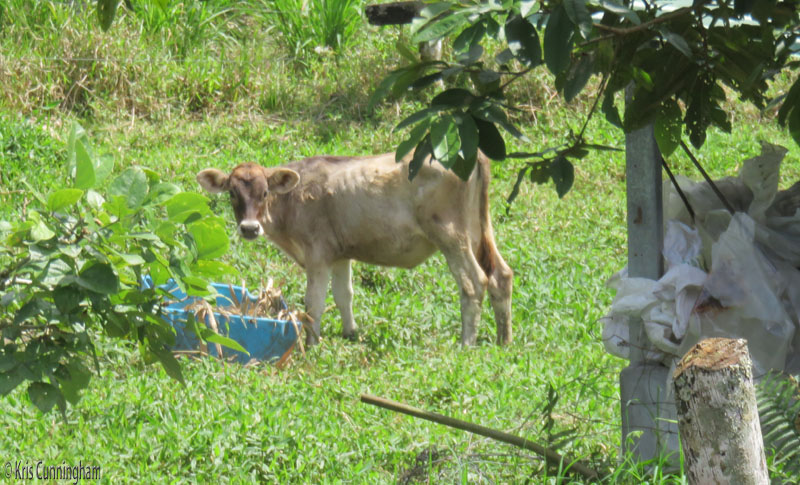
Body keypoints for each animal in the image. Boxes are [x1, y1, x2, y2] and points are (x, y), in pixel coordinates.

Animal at [196, 151, 513, 346]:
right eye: (232, 193)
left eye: (265, 193)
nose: (250, 228)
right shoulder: (340, 254)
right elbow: (344, 295)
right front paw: (351, 332)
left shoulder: (317, 255)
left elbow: (314, 301)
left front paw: (311, 342)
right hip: (477, 230)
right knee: (501, 276)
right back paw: (503, 340)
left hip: (451, 234)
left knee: (474, 283)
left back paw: (466, 343)